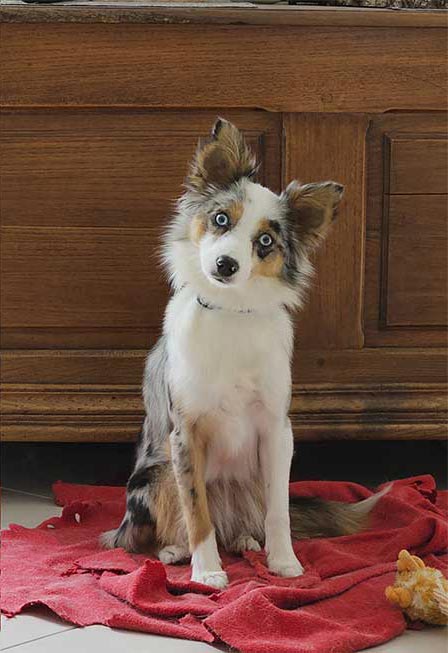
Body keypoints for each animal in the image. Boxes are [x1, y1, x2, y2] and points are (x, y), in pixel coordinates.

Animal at [102, 118, 386, 588]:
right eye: (220, 219)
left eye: (266, 241)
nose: (225, 264)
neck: (231, 310)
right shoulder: (186, 435)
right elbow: (196, 511)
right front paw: (207, 571)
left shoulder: (276, 431)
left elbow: (279, 512)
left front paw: (285, 562)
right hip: (154, 476)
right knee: (162, 528)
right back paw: (177, 551)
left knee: (247, 522)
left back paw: (247, 542)